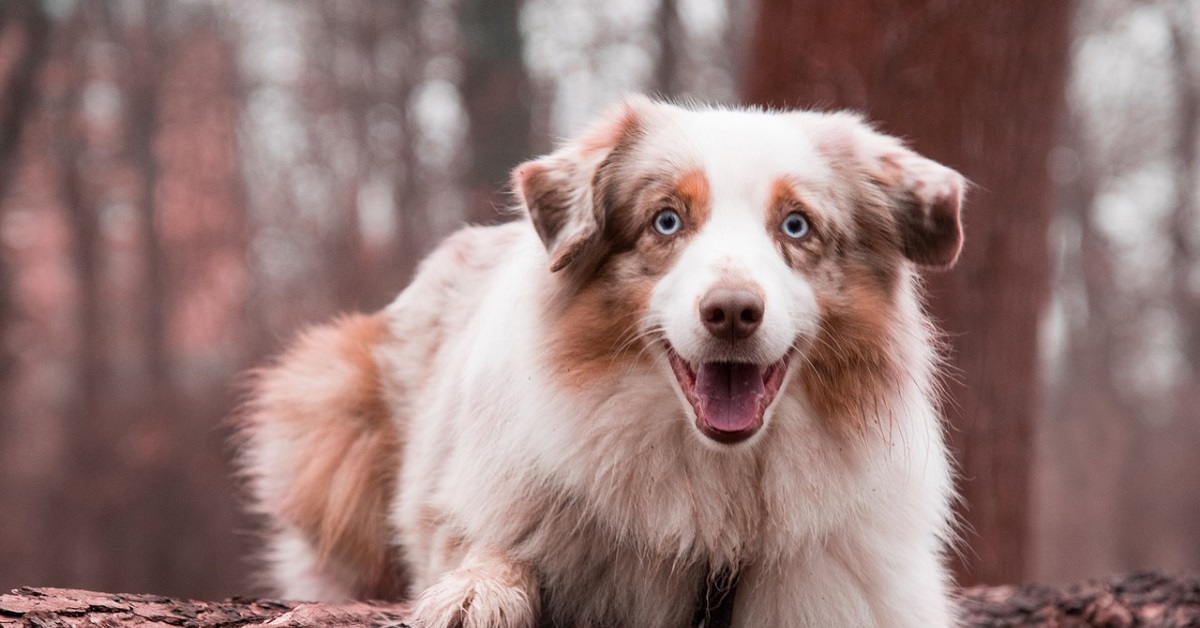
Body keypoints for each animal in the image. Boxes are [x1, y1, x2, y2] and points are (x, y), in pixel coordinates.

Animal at [234, 94, 964, 628]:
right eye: (666, 221)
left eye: (796, 225)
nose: (732, 312)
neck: (717, 502)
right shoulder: (488, 504)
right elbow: (494, 551)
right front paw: (474, 594)